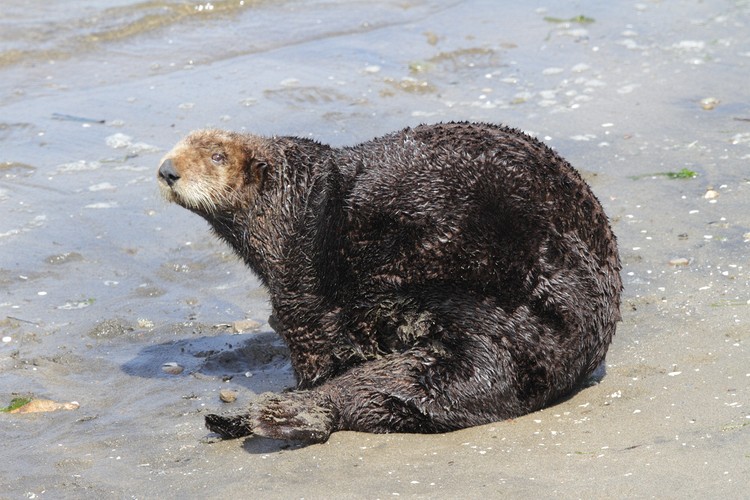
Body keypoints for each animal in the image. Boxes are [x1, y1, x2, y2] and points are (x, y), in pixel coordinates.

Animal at [157, 122, 621, 443]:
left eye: (217, 156)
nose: (167, 170)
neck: (290, 197)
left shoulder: (297, 267)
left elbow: (308, 327)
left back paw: (273, 411)